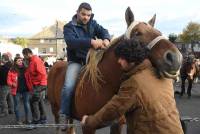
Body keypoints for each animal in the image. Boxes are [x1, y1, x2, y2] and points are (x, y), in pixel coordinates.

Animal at [47, 7, 183, 134]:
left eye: (159, 32)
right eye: (137, 33)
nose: (175, 58)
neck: (105, 84)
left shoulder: (117, 124)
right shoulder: (88, 126)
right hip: (55, 109)